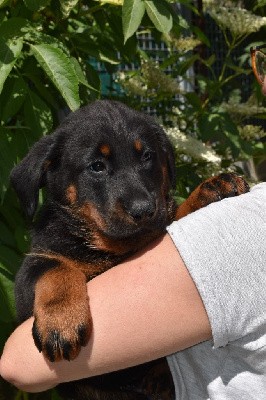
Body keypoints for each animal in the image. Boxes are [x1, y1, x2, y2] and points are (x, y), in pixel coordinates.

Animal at [10, 100, 249, 400]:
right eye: (96, 166)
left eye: (147, 156)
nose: (143, 210)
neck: (111, 247)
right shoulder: (34, 268)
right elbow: (56, 268)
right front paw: (61, 322)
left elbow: (171, 218)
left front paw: (208, 190)